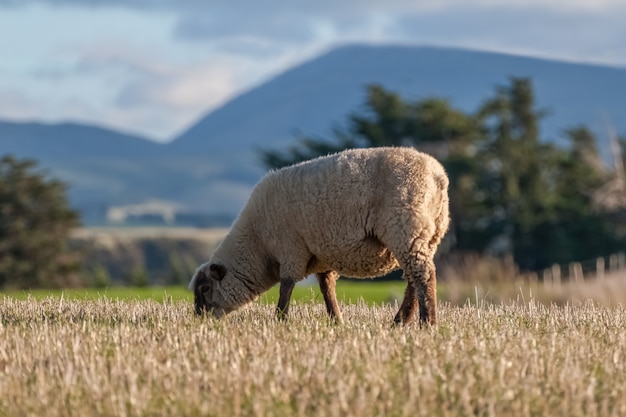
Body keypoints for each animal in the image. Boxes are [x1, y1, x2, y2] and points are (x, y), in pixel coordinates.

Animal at [189, 146, 448, 324]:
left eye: (205, 288)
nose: (199, 319)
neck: (257, 245)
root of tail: (438, 175)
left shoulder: (291, 248)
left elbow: (286, 286)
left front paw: (280, 320)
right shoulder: (322, 254)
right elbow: (326, 288)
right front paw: (336, 321)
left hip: (405, 227)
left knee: (423, 275)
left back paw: (427, 323)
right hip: (427, 234)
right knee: (414, 279)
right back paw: (400, 322)